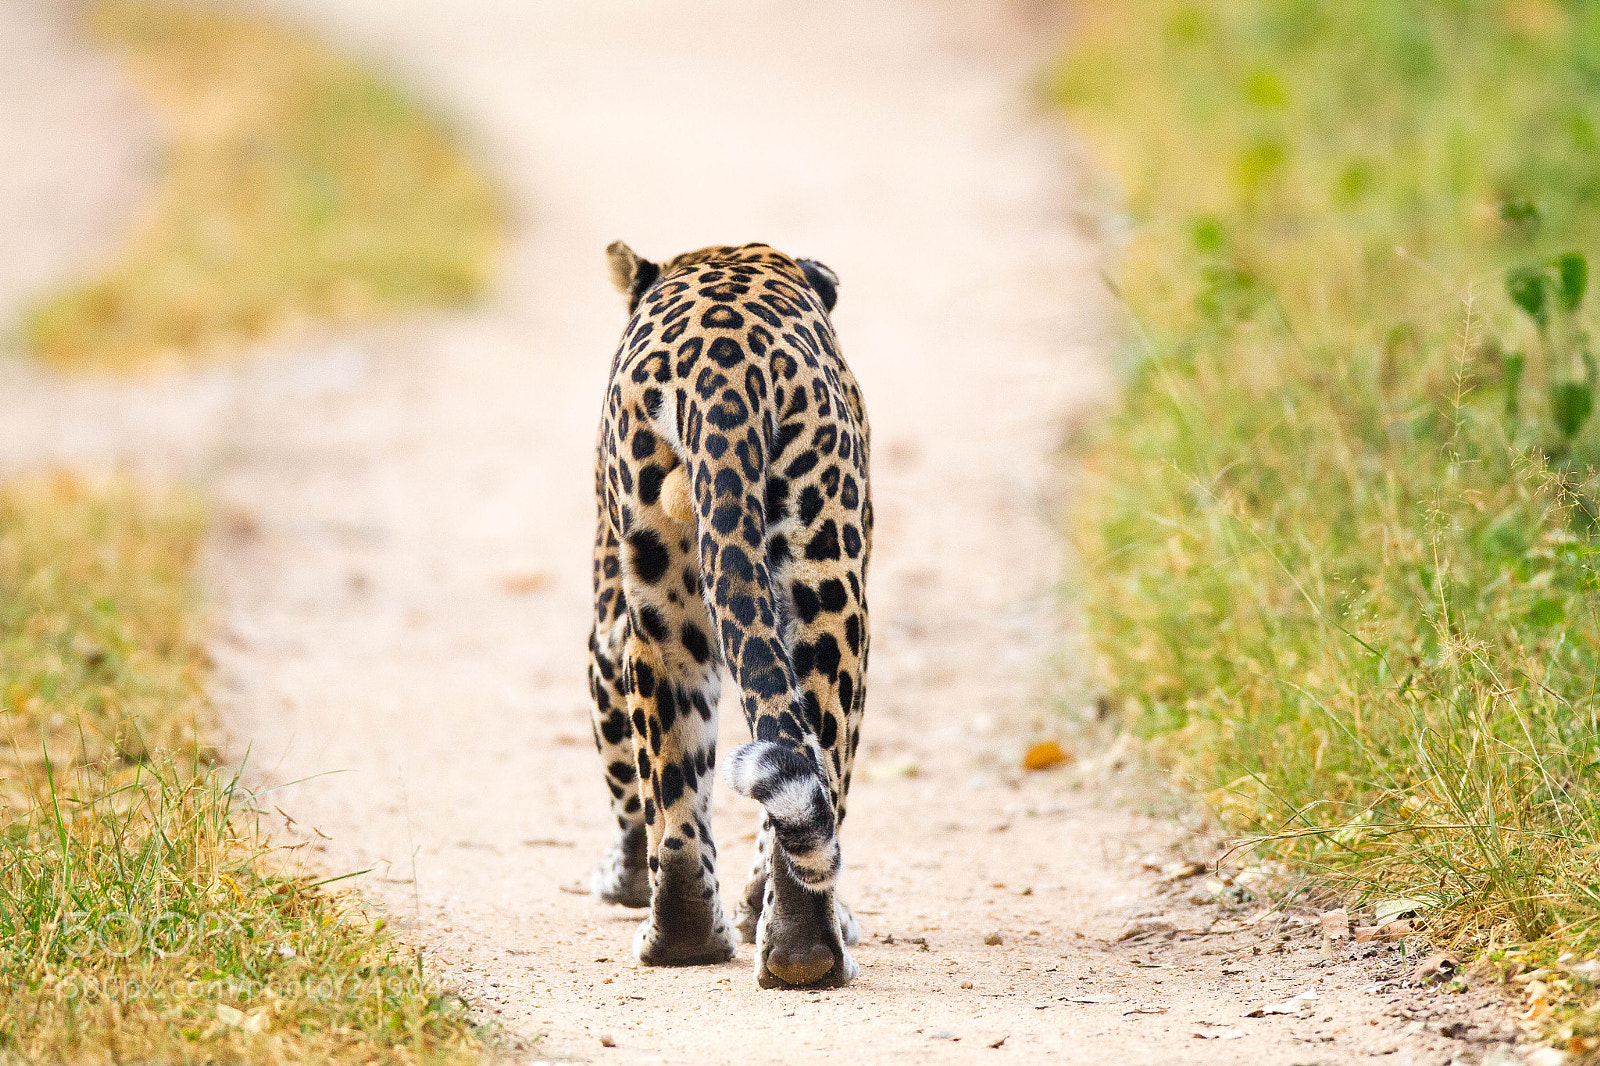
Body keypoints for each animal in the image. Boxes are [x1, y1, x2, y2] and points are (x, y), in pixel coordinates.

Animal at [584, 240, 871, 989]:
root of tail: (723, 370)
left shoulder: (606, 630)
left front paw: (621, 880)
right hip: (819, 592)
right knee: (803, 762)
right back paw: (795, 945)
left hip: (669, 603)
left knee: (683, 798)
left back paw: (699, 937)